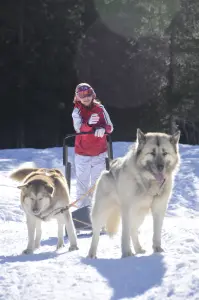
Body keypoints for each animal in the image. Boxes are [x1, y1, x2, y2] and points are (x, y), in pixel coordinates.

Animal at [88, 129, 181, 258]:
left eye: (165, 153)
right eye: (152, 153)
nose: (160, 167)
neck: (148, 182)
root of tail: (109, 169)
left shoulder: (159, 208)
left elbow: (156, 232)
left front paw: (157, 249)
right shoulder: (127, 210)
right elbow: (125, 234)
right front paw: (126, 253)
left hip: (140, 214)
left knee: (133, 230)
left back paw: (138, 249)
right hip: (101, 212)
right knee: (96, 233)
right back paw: (91, 254)